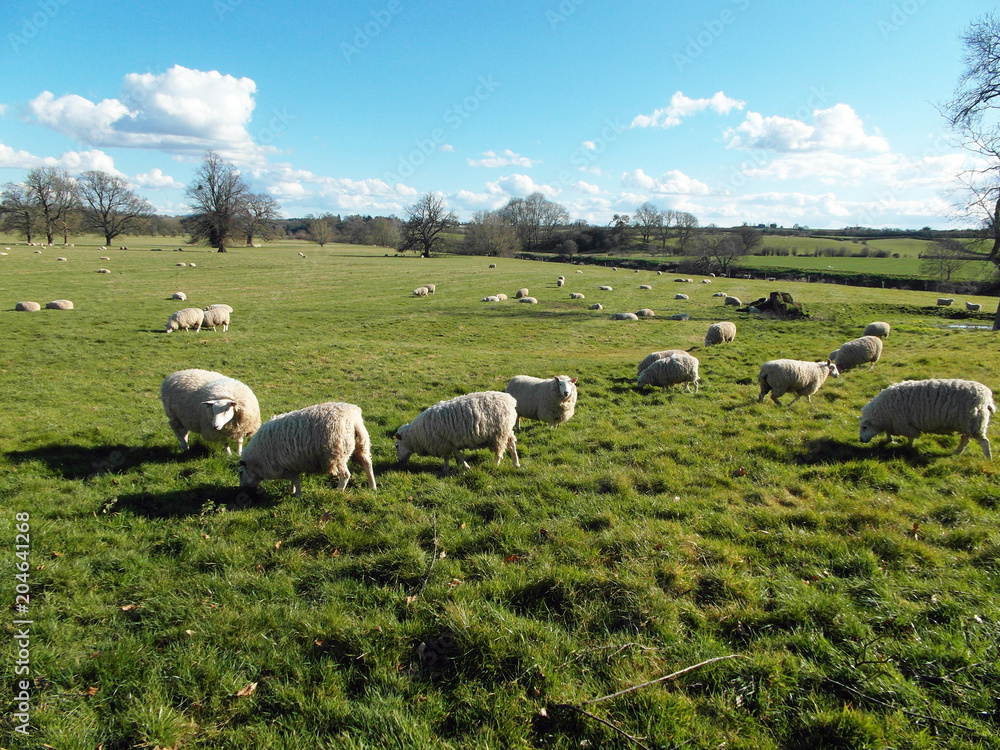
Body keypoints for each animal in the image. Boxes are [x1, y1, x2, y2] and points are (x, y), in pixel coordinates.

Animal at [238, 401, 376, 495]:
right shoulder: (292, 466)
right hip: (362, 445)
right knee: (367, 464)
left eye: (240, 473)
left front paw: (297, 495)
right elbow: (294, 480)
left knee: (346, 475)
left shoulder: (286, 466)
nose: (242, 489)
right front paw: (292, 490)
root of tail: (353, 417)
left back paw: (338, 491)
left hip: (337, 453)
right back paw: (373, 486)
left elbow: (295, 480)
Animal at [859, 378, 996, 458]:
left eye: (864, 427)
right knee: (965, 439)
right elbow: (888, 432)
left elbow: (910, 437)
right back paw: (957, 452)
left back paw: (988, 458)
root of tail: (987, 397)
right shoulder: (893, 422)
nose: (861, 440)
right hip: (967, 424)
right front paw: (889, 439)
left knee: (984, 442)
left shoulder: (905, 423)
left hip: (975, 422)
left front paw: (907, 448)